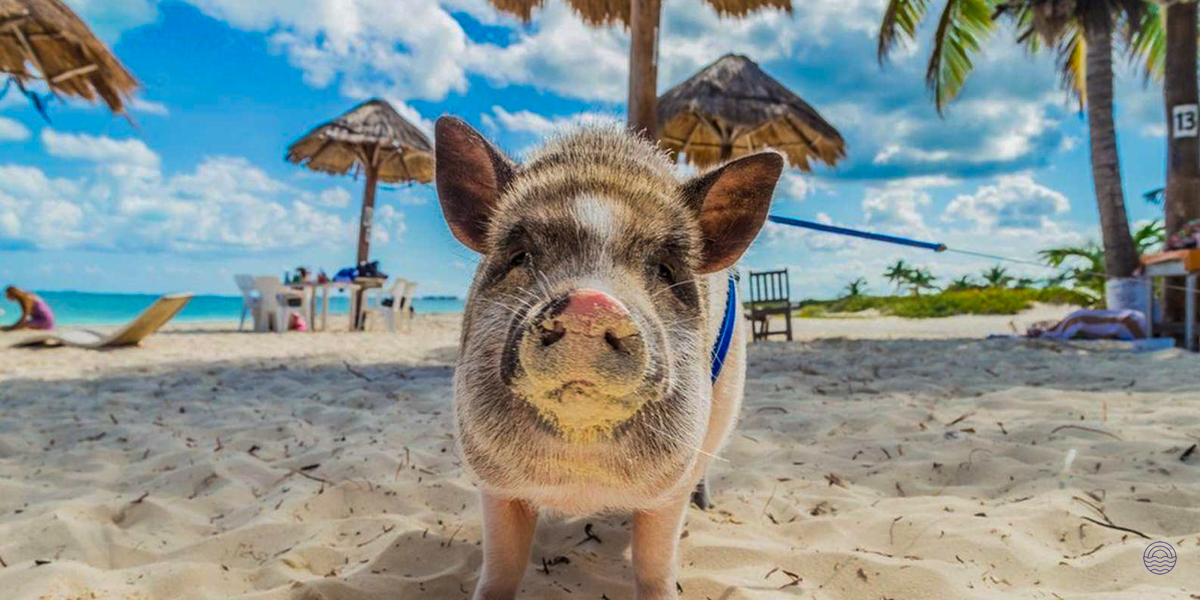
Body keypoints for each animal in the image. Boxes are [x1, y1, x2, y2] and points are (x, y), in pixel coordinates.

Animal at [434, 116, 783, 600]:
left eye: (665, 269)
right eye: (520, 256)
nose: (590, 302)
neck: (582, 481)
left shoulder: (670, 484)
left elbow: (655, 565)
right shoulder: (495, 482)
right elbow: (502, 566)